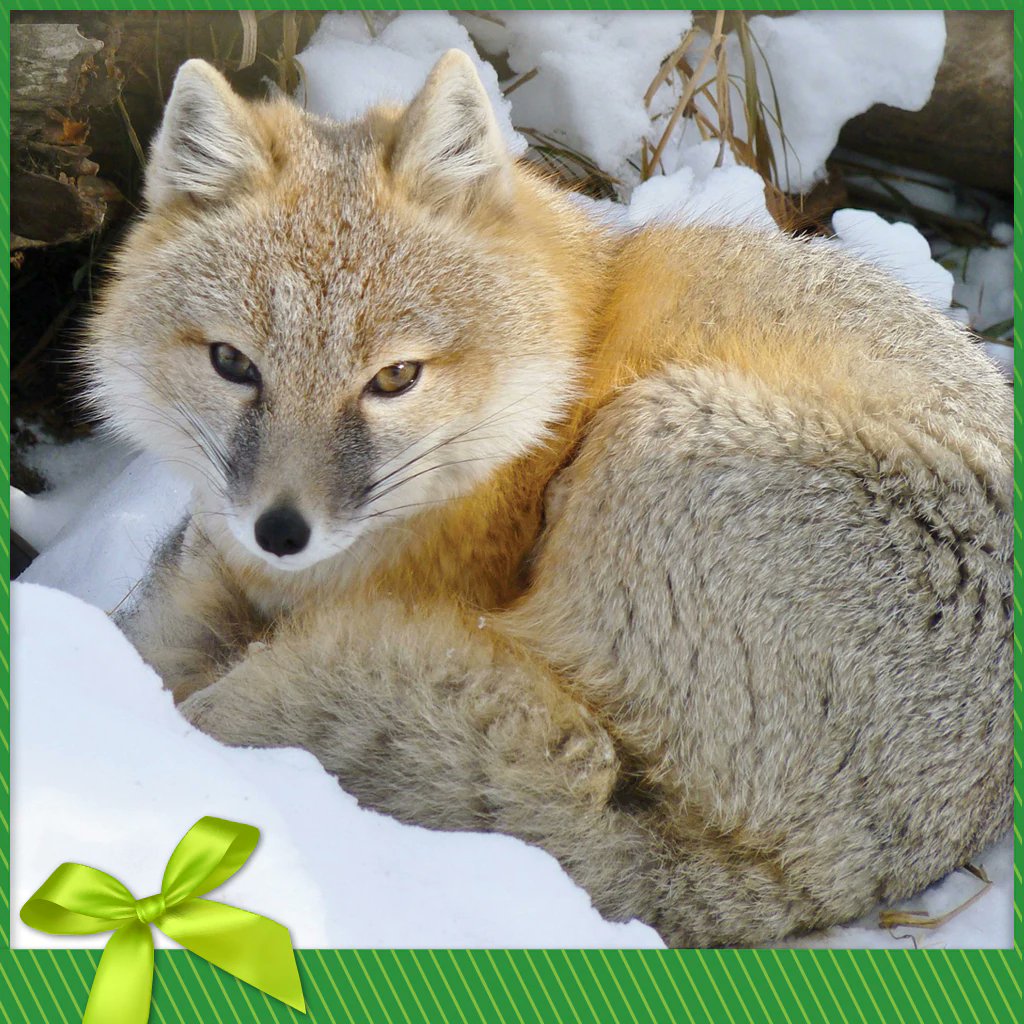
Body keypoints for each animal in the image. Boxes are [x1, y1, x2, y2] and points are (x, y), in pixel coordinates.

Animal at [83, 51, 1012, 947]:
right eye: (233, 364)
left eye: (395, 378)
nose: (281, 531)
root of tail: (822, 885)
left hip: (649, 436)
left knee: (571, 755)